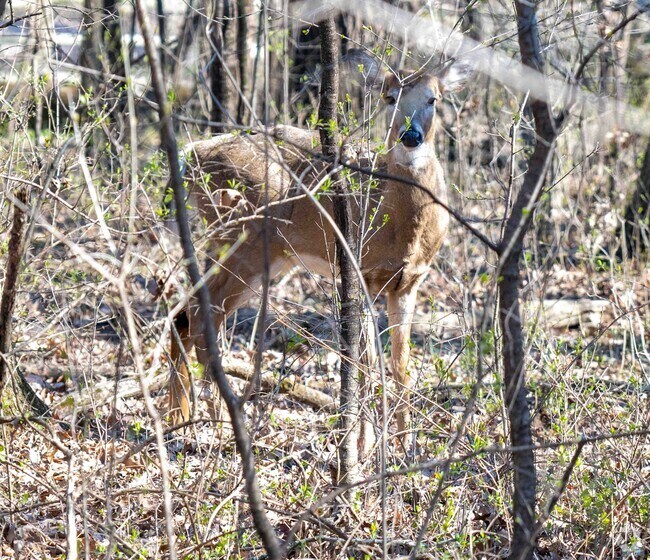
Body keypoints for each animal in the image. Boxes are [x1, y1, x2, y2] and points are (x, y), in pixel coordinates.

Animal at [167, 56, 470, 439]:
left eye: (433, 99)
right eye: (389, 97)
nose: (410, 136)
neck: (401, 229)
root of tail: (192, 155)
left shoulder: (409, 283)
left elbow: (401, 366)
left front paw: (404, 443)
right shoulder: (361, 271)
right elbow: (366, 361)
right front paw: (367, 444)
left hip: (238, 245)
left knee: (184, 314)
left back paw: (180, 417)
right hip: (245, 241)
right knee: (200, 319)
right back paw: (219, 423)